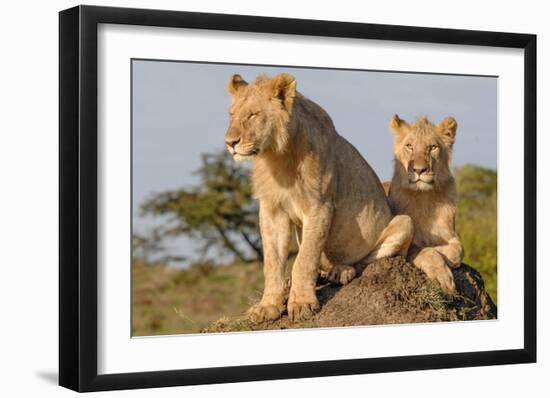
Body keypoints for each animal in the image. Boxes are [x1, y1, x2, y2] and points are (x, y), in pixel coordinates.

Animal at [225, 74, 414, 324]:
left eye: (253, 115)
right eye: (232, 115)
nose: (230, 143)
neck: (277, 156)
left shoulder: (319, 206)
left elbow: (304, 259)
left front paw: (302, 304)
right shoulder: (272, 210)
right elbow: (273, 262)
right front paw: (269, 306)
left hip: (404, 222)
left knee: (365, 260)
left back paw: (341, 271)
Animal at [388, 115, 466, 292]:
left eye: (432, 147)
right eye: (409, 146)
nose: (419, 170)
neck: (425, 198)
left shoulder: (451, 235)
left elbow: (458, 250)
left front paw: (444, 253)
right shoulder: (408, 246)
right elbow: (427, 251)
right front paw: (442, 277)